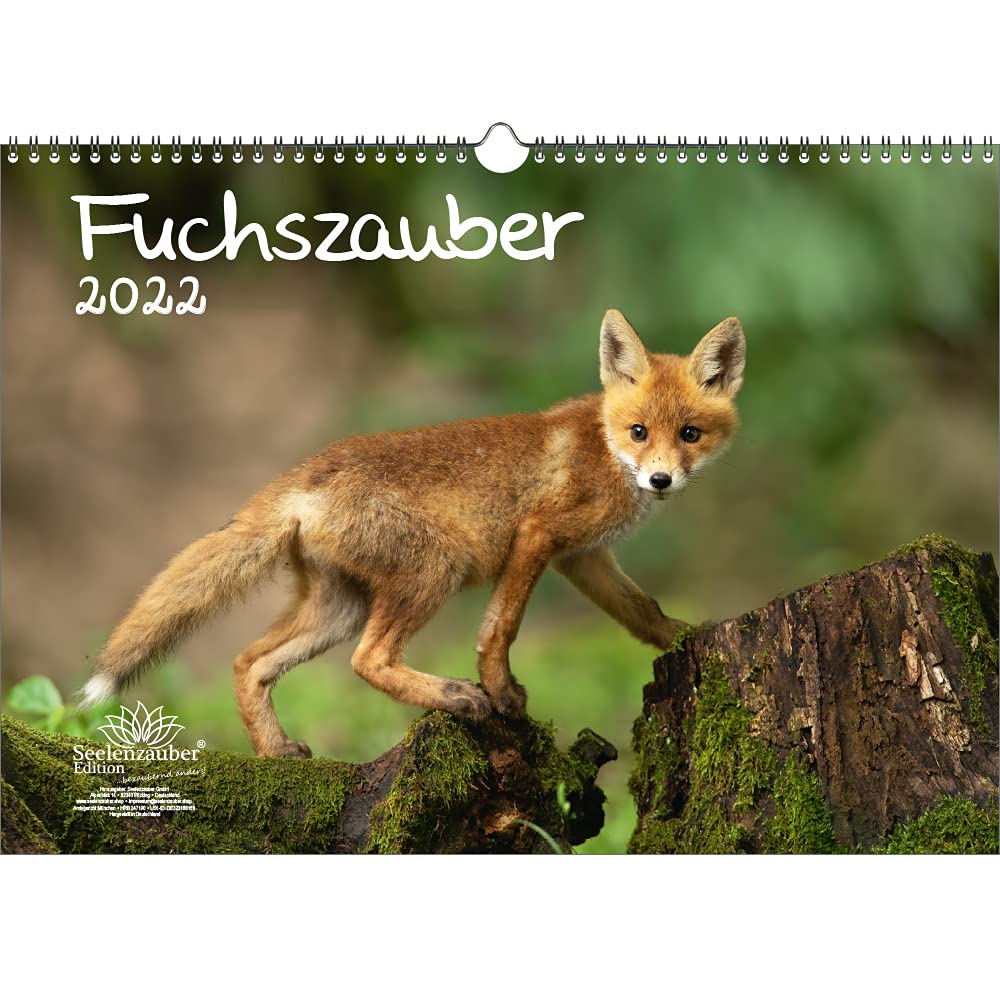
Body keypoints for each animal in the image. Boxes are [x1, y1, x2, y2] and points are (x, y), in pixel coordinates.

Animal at [80, 309, 745, 758]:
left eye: (689, 434)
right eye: (639, 432)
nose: (659, 479)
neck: (603, 448)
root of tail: (305, 471)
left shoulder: (583, 558)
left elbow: (643, 612)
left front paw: (686, 639)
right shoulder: (538, 536)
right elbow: (500, 629)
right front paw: (501, 692)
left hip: (339, 606)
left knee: (250, 661)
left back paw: (275, 752)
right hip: (431, 571)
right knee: (366, 660)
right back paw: (453, 695)